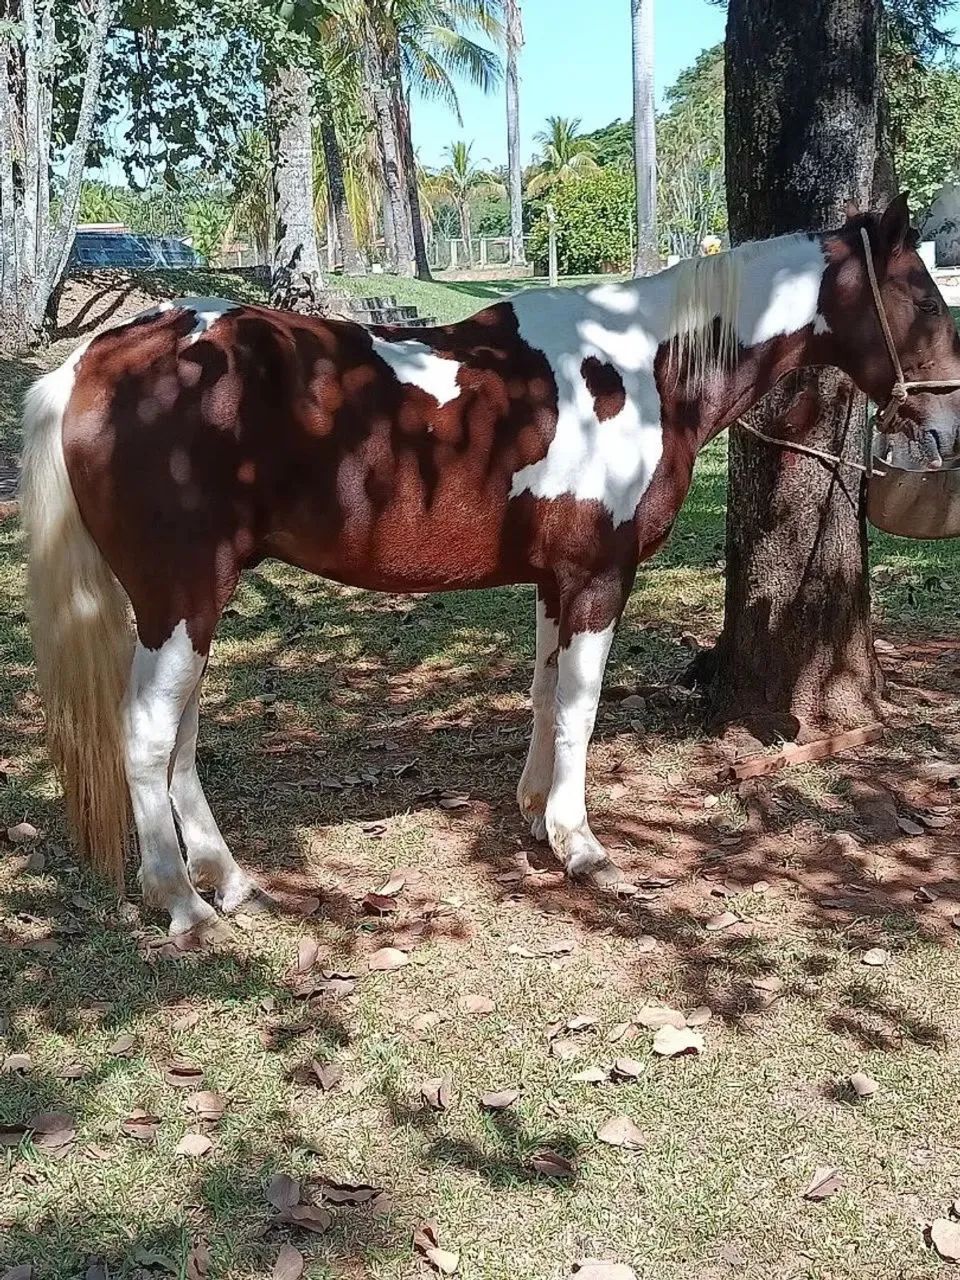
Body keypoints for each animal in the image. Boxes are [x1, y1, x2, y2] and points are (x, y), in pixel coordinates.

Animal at [20, 194, 960, 936]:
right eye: (922, 294)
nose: (944, 428)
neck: (639, 365)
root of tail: (92, 363)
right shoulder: (598, 579)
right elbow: (580, 708)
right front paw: (583, 847)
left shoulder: (557, 581)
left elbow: (546, 698)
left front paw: (537, 817)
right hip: (178, 599)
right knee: (148, 735)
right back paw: (179, 902)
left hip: (195, 602)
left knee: (179, 739)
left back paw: (229, 881)